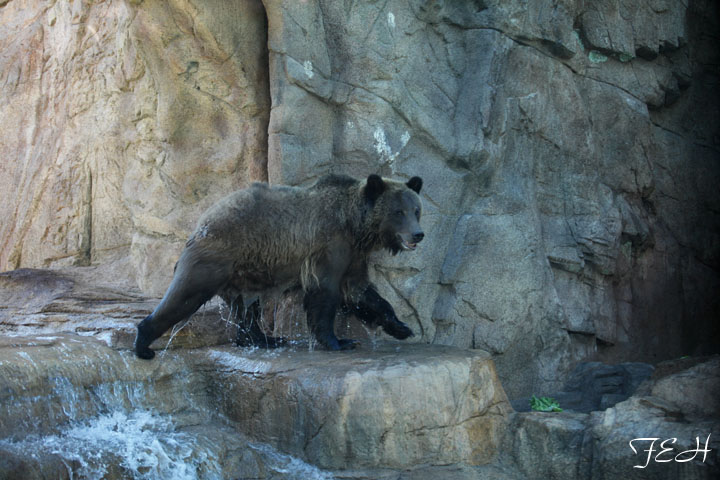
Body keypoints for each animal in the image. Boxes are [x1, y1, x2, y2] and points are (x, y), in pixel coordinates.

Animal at [134, 173, 424, 359]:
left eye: (417, 210)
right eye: (398, 212)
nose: (418, 234)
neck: (355, 226)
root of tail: (202, 221)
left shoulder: (354, 255)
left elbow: (360, 293)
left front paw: (401, 327)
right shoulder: (329, 247)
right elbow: (325, 294)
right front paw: (340, 341)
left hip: (244, 272)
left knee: (247, 310)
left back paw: (265, 339)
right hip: (216, 257)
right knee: (184, 295)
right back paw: (144, 344)